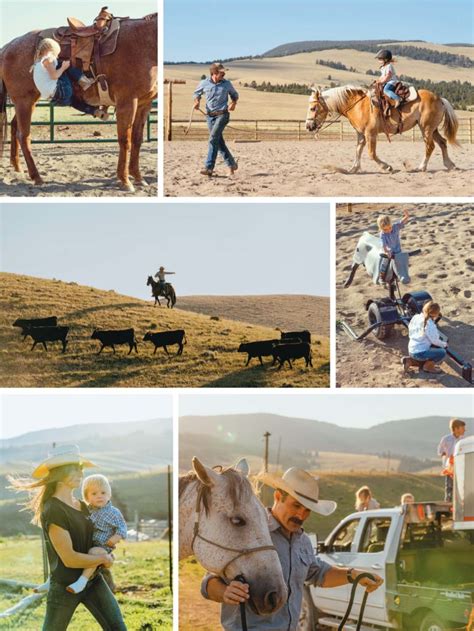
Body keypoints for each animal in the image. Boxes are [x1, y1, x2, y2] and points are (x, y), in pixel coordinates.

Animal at [0, 11, 159, 190]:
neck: (141, 44)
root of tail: (7, 47)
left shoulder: (144, 104)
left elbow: (137, 139)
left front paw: (138, 177)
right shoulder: (127, 102)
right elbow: (125, 140)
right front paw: (125, 181)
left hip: (28, 102)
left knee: (15, 127)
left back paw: (18, 167)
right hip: (24, 101)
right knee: (24, 136)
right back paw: (37, 177)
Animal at [306, 84, 458, 174]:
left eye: (313, 108)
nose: (308, 126)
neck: (357, 105)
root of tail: (440, 99)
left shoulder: (370, 134)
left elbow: (371, 154)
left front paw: (387, 167)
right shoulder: (361, 134)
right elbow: (358, 150)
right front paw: (353, 168)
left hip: (426, 128)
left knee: (430, 146)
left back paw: (421, 167)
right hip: (433, 129)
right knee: (442, 142)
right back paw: (449, 164)